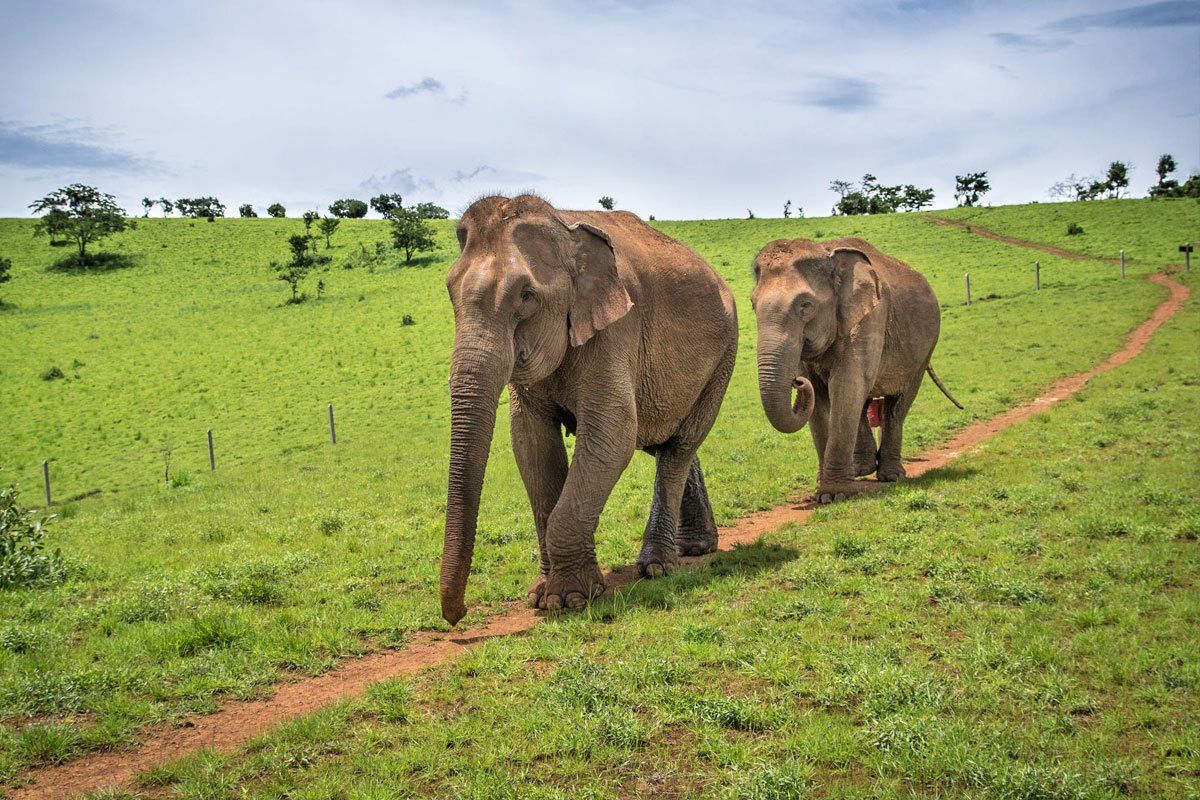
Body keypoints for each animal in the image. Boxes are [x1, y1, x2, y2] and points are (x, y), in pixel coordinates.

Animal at [444, 195, 739, 623]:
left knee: (679, 446)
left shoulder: (617, 330)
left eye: (526, 296)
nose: (458, 615)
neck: (565, 229)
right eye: (450, 291)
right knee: (667, 439)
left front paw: (568, 599)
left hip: (725, 357)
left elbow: (612, 434)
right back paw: (696, 548)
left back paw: (657, 567)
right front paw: (539, 595)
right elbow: (531, 442)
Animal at [753, 235, 960, 503]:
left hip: (923, 351)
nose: (797, 381)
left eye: (805, 305)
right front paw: (822, 489)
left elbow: (846, 385)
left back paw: (891, 476)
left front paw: (833, 495)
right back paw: (860, 470)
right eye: (752, 304)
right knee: (864, 403)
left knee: (897, 406)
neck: (828, 253)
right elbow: (821, 398)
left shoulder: (872, 317)